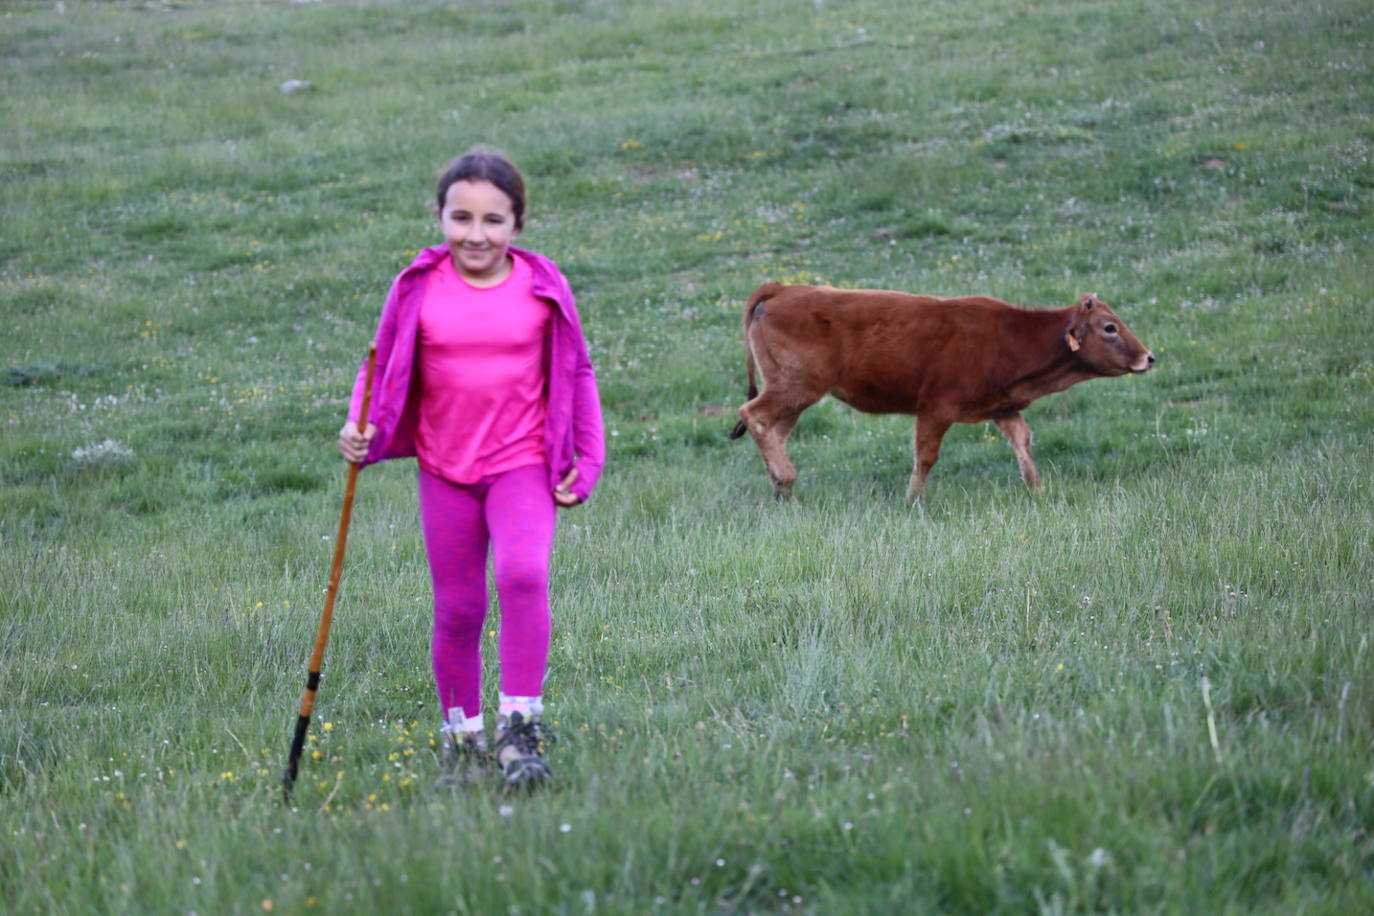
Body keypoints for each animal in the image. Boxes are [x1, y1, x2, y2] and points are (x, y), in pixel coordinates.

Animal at [725, 287, 1154, 502]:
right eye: (1109, 327)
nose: (1148, 357)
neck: (1009, 336)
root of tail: (783, 289)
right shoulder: (935, 409)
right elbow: (926, 456)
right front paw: (912, 499)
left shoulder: (1003, 408)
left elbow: (1023, 445)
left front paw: (1037, 490)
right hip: (796, 389)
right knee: (753, 415)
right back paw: (786, 477)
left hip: (795, 397)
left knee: (774, 432)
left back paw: (782, 488)